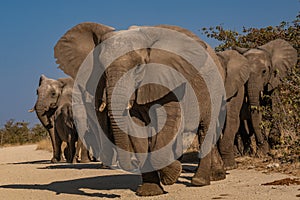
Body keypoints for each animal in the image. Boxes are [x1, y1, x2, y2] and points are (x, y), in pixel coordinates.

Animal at [52, 21, 229, 195]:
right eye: (101, 70)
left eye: (138, 68)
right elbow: (138, 130)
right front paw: (150, 191)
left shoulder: (168, 81)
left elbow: (168, 122)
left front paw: (171, 174)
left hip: (214, 87)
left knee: (206, 129)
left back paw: (199, 181)